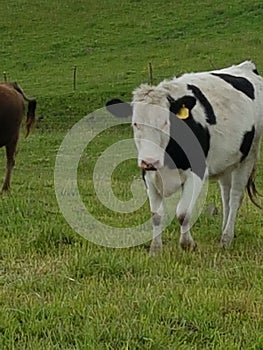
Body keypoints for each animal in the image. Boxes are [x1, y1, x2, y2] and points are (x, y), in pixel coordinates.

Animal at [106, 61, 262, 254]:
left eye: (166, 122)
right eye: (135, 124)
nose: (150, 161)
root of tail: (246, 66)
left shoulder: (197, 172)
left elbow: (183, 213)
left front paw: (188, 244)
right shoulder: (148, 175)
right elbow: (156, 215)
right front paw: (155, 249)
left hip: (249, 156)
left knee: (235, 198)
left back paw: (226, 238)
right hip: (226, 162)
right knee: (225, 196)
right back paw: (225, 232)